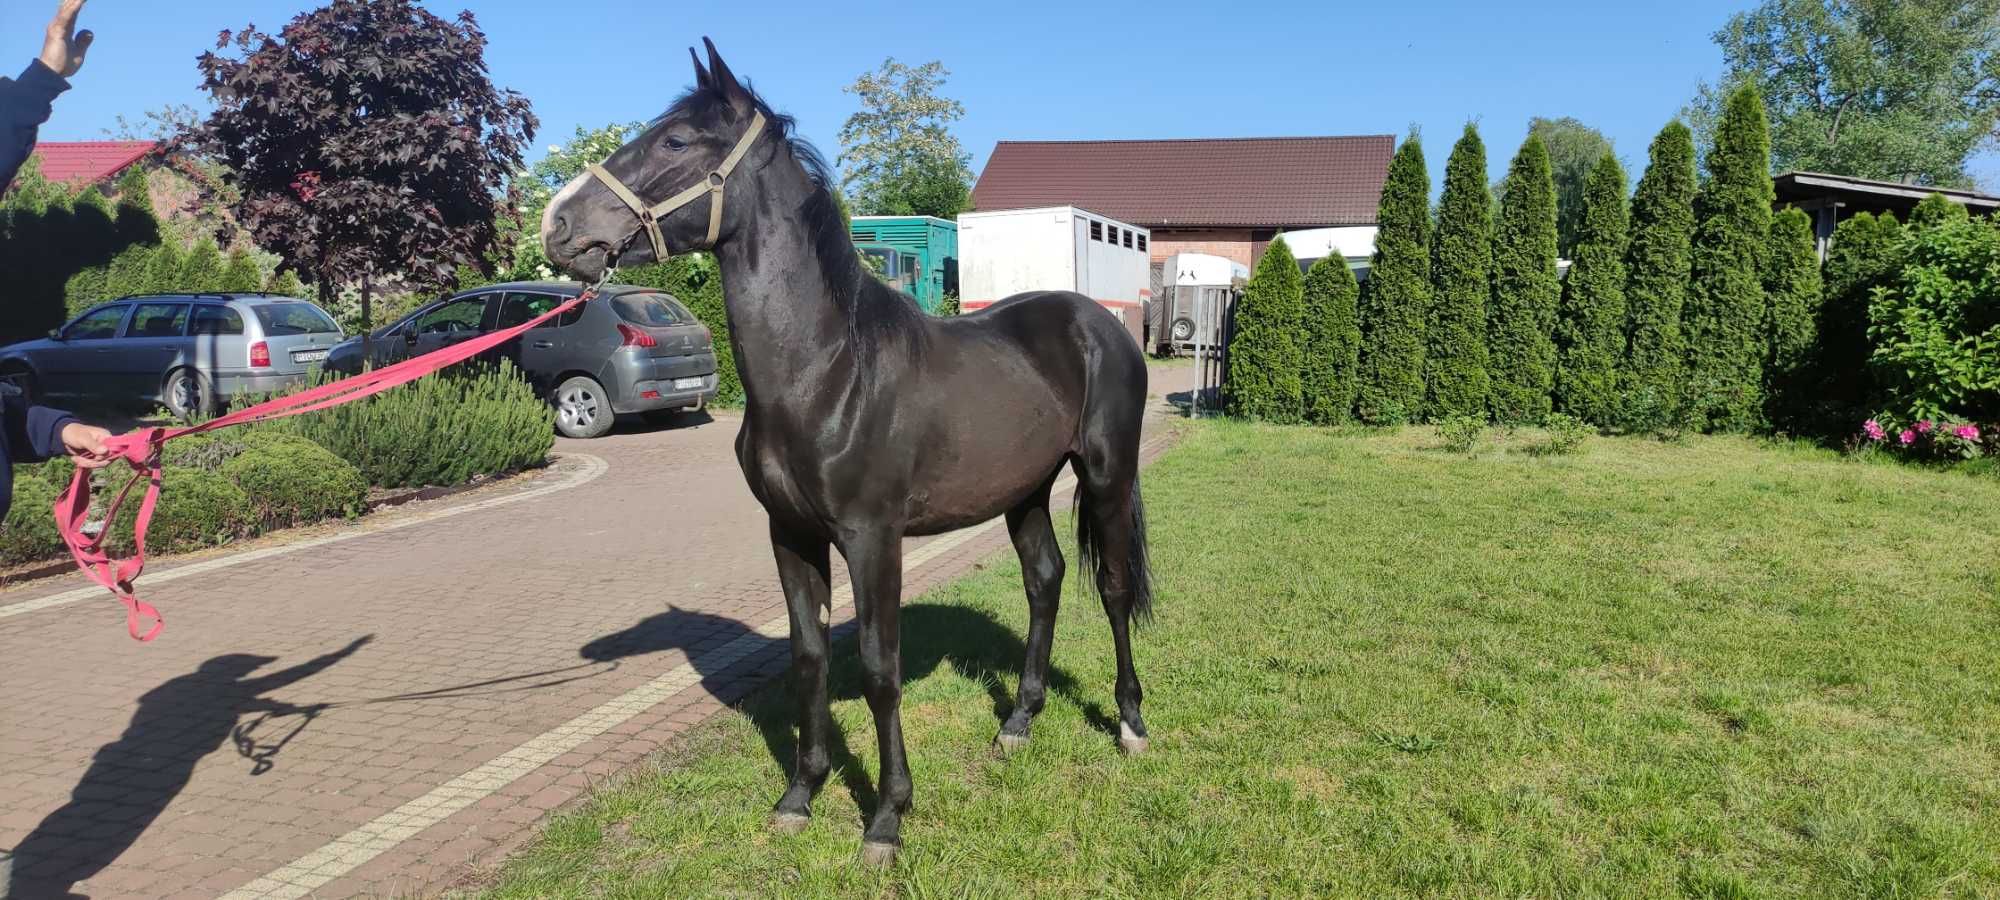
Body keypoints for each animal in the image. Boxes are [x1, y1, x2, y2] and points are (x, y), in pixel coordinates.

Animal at [540, 42, 1160, 864]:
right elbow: (807, 658)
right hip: (1024, 491)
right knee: (1045, 581)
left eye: (674, 142)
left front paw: (887, 817)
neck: (826, 369)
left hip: (1107, 475)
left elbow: (877, 669)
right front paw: (800, 795)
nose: (558, 223)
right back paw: (1017, 723)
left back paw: (1130, 723)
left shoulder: (872, 539)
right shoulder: (790, 535)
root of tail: (1101, 324)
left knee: (1114, 589)